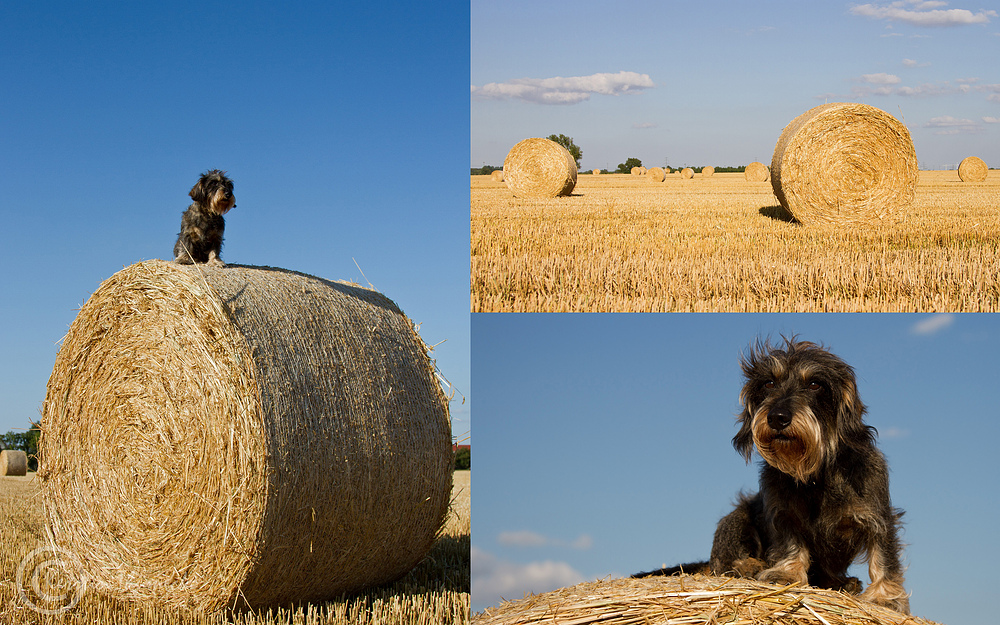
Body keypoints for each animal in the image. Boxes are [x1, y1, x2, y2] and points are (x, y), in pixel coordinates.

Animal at [636, 336, 912, 616]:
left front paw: (885, 598)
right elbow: (790, 543)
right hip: (735, 520)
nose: (778, 418)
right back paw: (750, 566)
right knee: (722, 565)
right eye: (769, 383)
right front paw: (786, 574)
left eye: (815, 384)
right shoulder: (783, 514)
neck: (815, 476)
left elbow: (883, 556)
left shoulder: (878, 516)